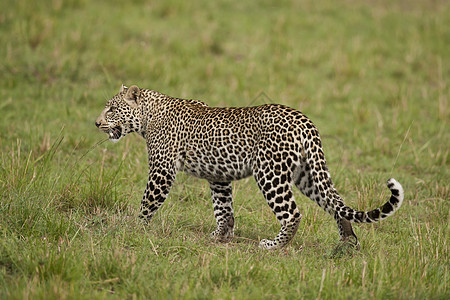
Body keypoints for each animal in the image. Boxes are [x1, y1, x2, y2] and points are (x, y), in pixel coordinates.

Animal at [96, 84, 404, 251]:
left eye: (111, 109)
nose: (96, 123)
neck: (148, 116)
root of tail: (305, 121)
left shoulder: (162, 170)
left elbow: (148, 202)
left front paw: (133, 229)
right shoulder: (218, 176)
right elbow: (223, 209)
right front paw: (221, 235)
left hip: (270, 173)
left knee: (293, 214)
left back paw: (274, 246)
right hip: (307, 174)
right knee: (335, 203)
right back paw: (348, 244)